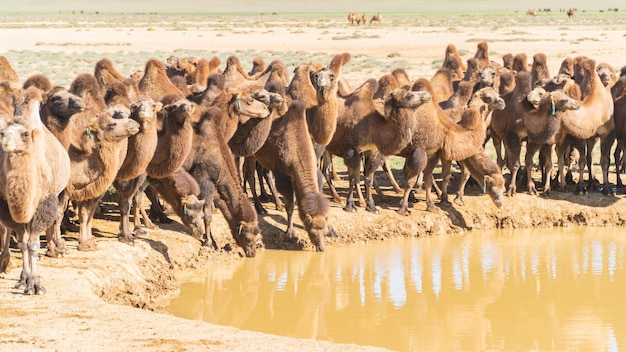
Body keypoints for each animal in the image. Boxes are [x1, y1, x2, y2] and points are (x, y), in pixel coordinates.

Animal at [0, 86, 71, 294]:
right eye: (2, 133)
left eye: (25, 134)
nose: (6, 142)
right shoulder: (7, 206)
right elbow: (22, 242)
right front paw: (25, 280)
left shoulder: (44, 203)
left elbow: (33, 244)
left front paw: (35, 284)